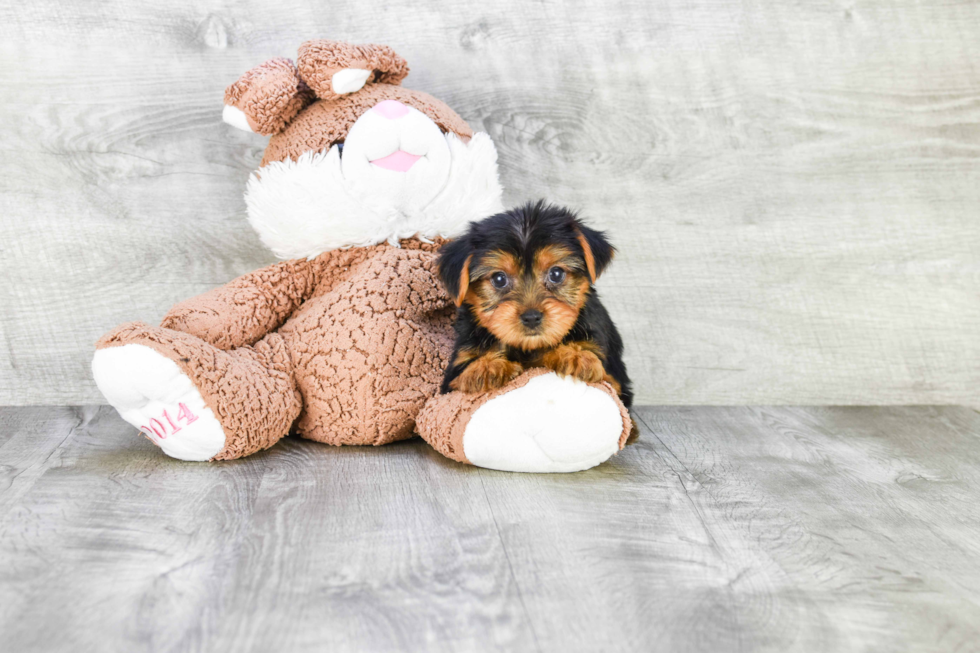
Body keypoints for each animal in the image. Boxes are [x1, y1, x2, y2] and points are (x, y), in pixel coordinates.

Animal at [436, 199, 636, 412]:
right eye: (499, 279)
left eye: (556, 274)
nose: (531, 317)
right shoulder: (453, 377)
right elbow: (460, 378)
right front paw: (486, 366)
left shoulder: (613, 376)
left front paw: (573, 355)